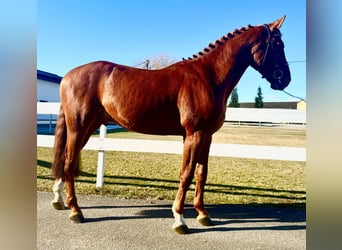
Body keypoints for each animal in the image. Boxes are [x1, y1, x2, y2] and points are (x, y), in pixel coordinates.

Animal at [50, 16, 292, 233]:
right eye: (278, 45)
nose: (285, 79)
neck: (208, 77)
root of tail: (68, 76)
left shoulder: (206, 136)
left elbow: (201, 173)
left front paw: (203, 215)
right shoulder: (194, 134)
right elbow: (186, 174)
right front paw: (179, 220)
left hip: (87, 128)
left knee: (65, 160)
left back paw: (59, 199)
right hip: (78, 127)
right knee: (69, 162)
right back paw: (76, 211)